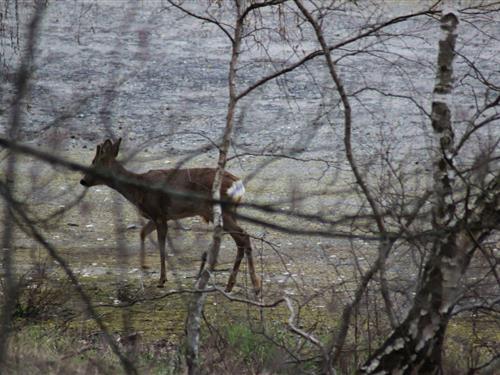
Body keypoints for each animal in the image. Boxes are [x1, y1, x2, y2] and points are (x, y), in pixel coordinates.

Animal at [79, 140, 262, 296]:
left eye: (94, 162)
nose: (82, 181)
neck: (138, 190)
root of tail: (238, 185)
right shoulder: (159, 216)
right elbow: (142, 232)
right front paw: (144, 265)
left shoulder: (159, 214)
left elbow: (161, 245)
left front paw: (161, 279)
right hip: (230, 211)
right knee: (241, 240)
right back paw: (232, 285)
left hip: (220, 211)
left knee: (243, 236)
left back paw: (254, 285)